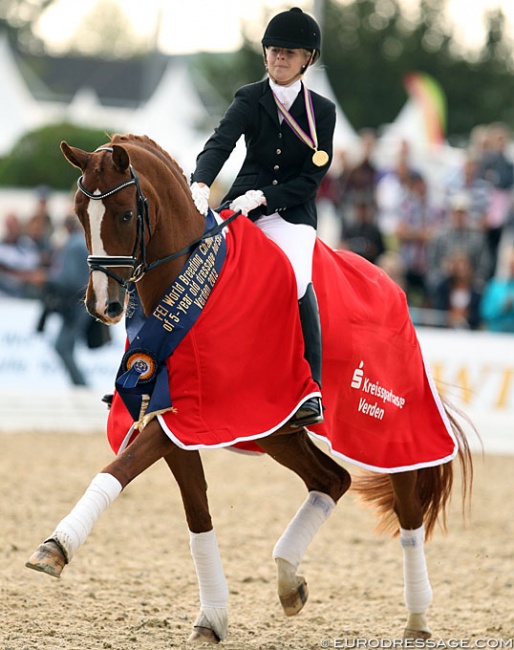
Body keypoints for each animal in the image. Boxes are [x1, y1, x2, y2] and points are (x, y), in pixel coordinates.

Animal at [26, 134, 470, 640]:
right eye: (79, 212)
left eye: (122, 214)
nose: (104, 305)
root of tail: (391, 285)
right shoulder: (175, 419)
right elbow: (196, 514)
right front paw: (212, 618)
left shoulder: (195, 415)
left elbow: (118, 468)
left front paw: (56, 546)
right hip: (277, 431)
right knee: (332, 480)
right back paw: (289, 580)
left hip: (388, 428)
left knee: (409, 511)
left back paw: (417, 620)